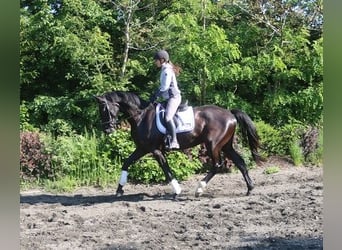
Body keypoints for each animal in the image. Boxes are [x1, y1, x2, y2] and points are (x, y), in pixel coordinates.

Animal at [94, 91, 262, 198]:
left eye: (105, 109)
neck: (141, 117)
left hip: (213, 145)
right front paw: (119, 190)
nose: (107, 129)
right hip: (226, 145)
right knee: (240, 162)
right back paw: (249, 189)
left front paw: (177, 191)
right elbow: (126, 163)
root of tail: (229, 113)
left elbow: (166, 169)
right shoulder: (142, 148)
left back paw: (199, 189)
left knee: (217, 165)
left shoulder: (154, 150)